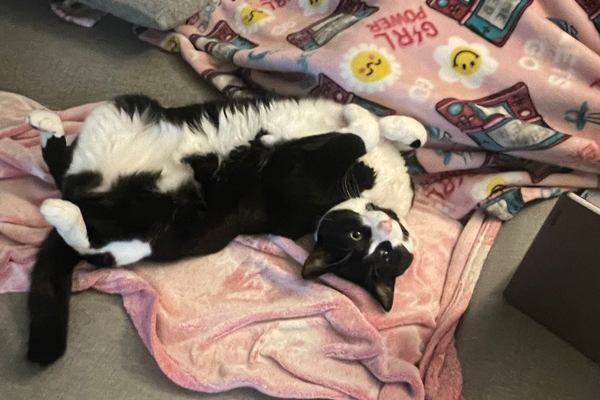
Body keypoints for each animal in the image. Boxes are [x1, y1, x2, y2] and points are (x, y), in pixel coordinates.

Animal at [26, 95, 426, 365]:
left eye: (382, 253)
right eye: (361, 239)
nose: (387, 226)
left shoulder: (297, 177)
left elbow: (361, 137)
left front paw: (365, 120)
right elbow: (397, 134)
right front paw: (379, 119)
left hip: (159, 231)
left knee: (96, 243)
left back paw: (60, 209)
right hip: (126, 110)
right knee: (63, 169)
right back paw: (47, 124)